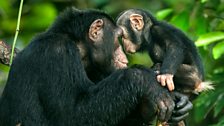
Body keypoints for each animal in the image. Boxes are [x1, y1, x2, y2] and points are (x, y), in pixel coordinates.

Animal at [0, 7, 192, 125]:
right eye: (118, 38)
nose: (124, 54)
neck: (78, 46)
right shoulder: (57, 55)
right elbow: (72, 113)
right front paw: (146, 81)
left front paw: (178, 102)